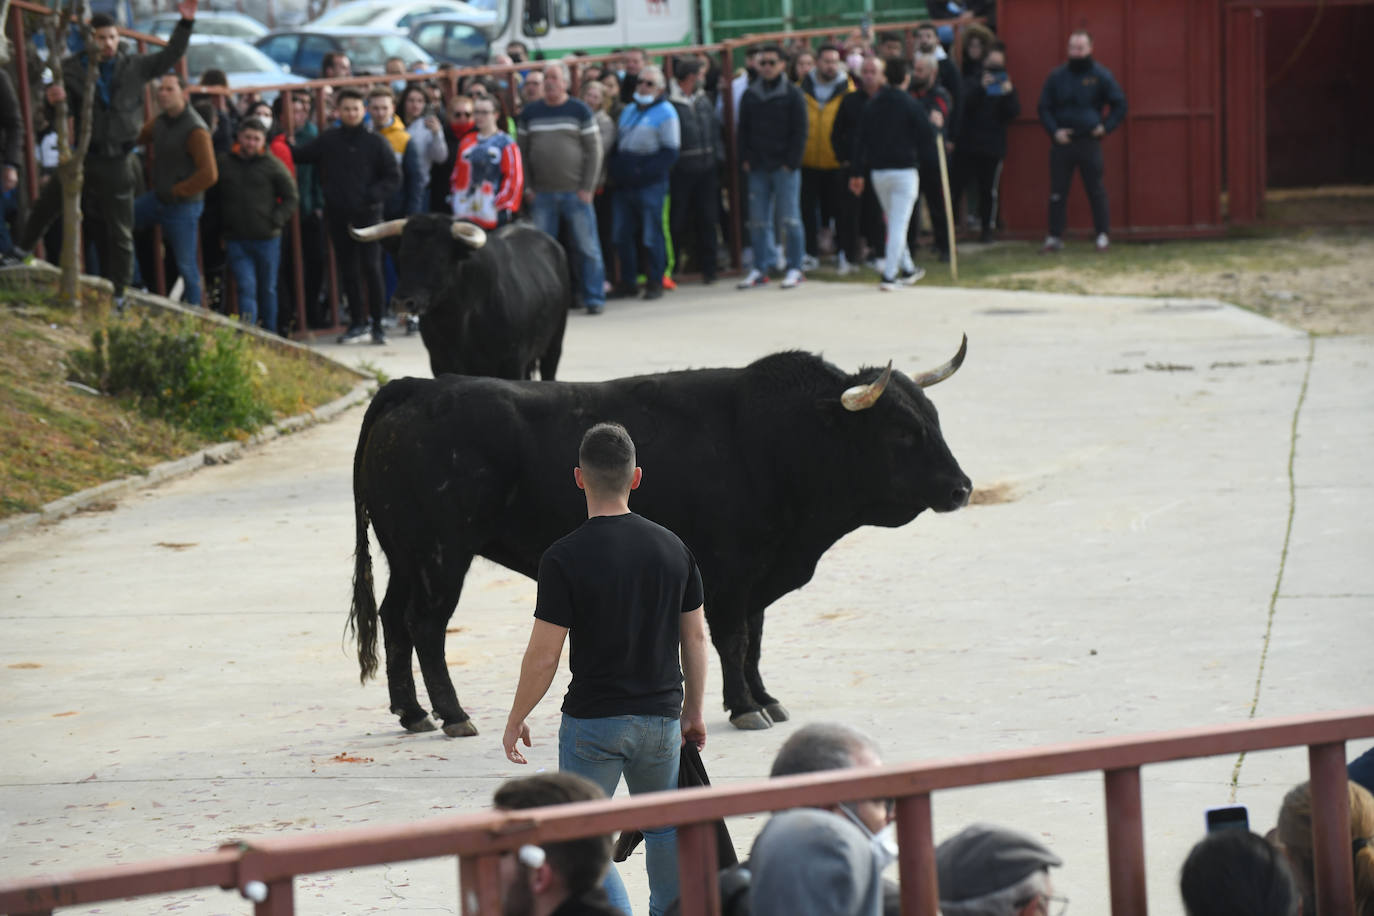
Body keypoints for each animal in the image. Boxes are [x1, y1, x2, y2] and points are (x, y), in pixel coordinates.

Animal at [348, 343, 972, 736]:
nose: (962, 488)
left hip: (406, 553)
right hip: (441, 555)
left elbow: (756, 640)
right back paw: (453, 715)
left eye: (934, 418)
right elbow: (733, 640)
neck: (778, 440)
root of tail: (416, 388)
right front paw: (744, 707)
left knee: (394, 617)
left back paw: (412, 713)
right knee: (426, 625)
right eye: (902, 432)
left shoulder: (757, 577)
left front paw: (766, 698)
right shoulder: (728, 575)